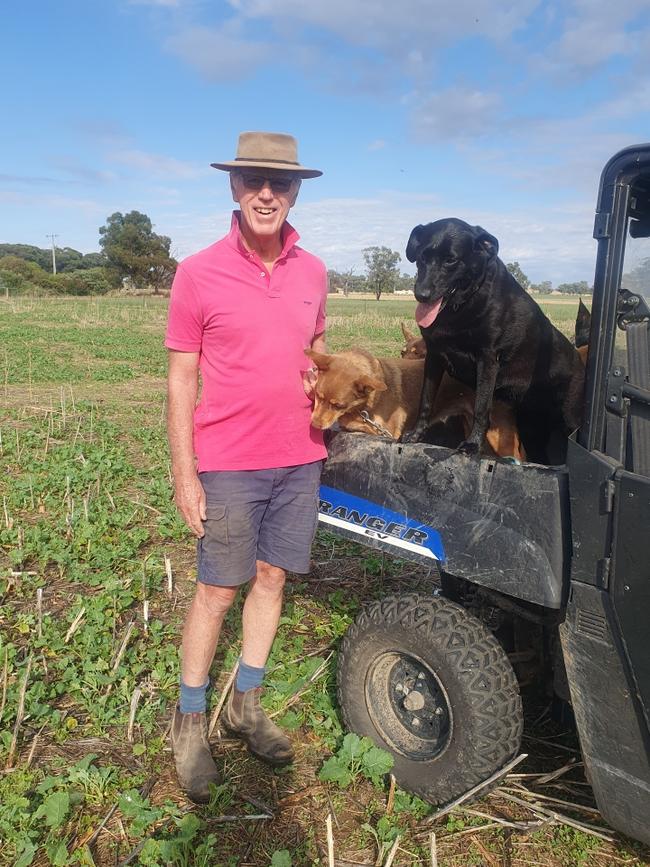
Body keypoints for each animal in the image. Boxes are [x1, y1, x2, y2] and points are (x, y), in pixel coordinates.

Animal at [404, 217, 584, 464]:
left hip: (570, 418)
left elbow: (481, 408)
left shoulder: (488, 359)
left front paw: (472, 445)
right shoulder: (433, 356)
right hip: (532, 427)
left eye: (451, 260)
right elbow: (426, 399)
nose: (421, 295)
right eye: (422, 257)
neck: (461, 307)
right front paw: (416, 433)